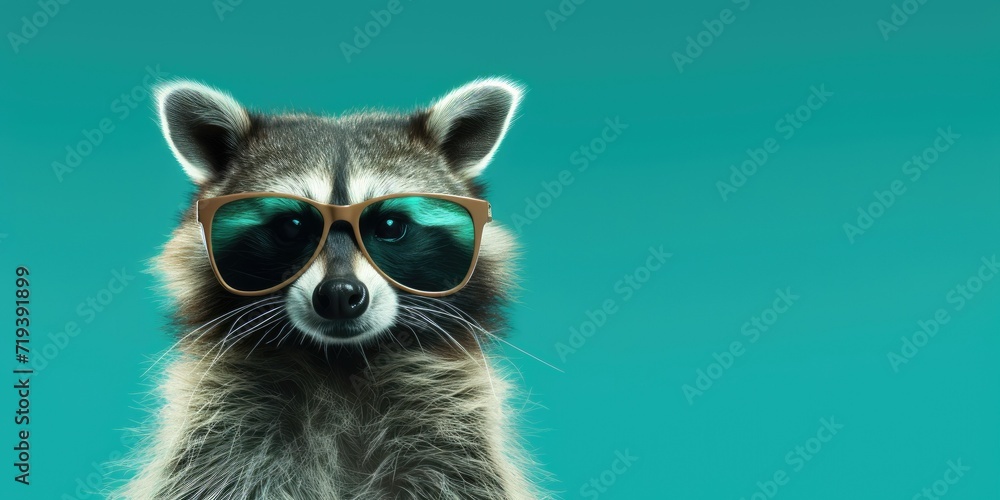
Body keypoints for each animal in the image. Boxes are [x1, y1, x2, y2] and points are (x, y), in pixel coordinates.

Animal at [116, 79, 542, 499]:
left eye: (389, 226)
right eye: (291, 226)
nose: (339, 294)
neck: (340, 362)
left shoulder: (453, 441)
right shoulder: (222, 439)